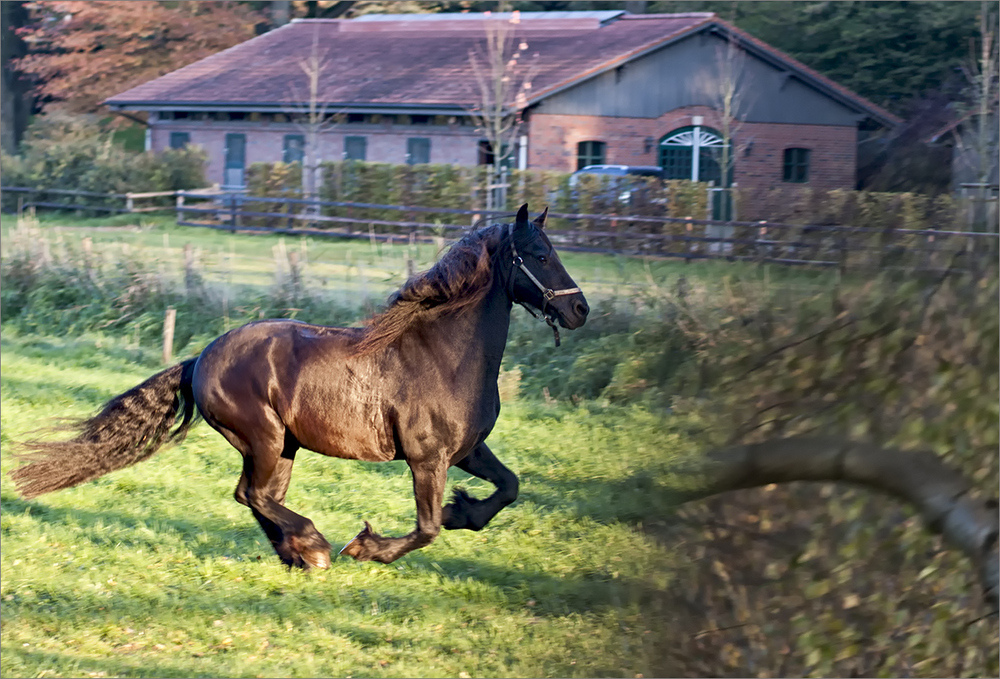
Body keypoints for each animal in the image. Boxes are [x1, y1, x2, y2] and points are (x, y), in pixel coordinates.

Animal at [9, 205, 584, 572]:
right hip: (263, 438)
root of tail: (200, 360)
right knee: (255, 494)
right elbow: (425, 529)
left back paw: (297, 553)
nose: (580, 309)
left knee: (256, 496)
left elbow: (508, 488)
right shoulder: (428, 458)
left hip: (282, 444)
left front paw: (462, 510)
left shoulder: (466, 450)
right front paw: (366, 546)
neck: (443, 355)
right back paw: (315, 547)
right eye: (538, 254)